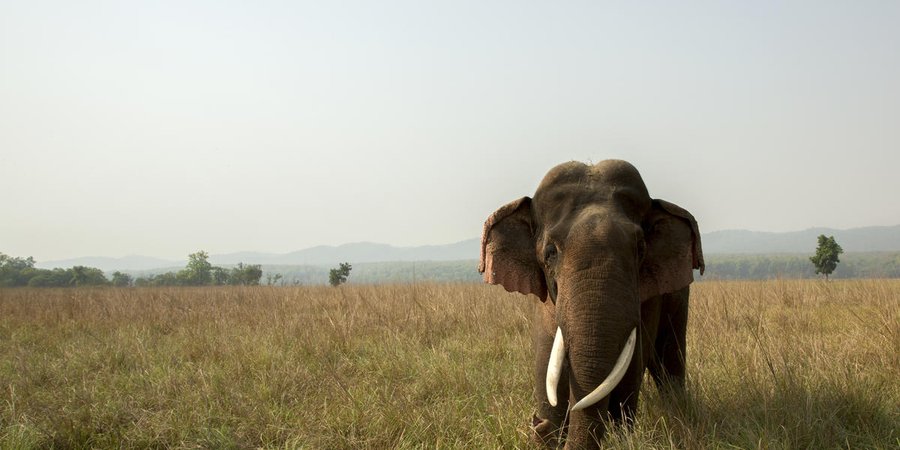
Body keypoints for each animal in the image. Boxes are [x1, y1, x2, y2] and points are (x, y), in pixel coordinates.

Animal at [478, 160, 704, 448]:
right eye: (550, 252)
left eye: (640, 248)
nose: (536, 424)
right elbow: (546, 360)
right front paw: (551, 425)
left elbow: (631, 365)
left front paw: (620, 434)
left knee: (669, 356)